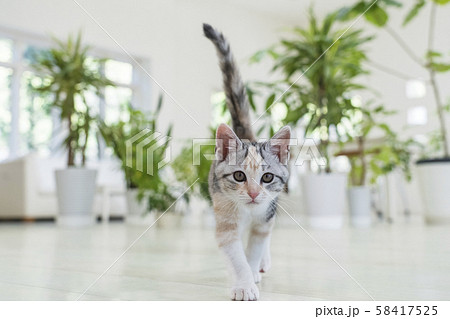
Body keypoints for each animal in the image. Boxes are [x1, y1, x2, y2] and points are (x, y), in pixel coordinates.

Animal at [204, 23, 292, 302]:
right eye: (239, 176)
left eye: (267, 177)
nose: (253, 194)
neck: (248, 211)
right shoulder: (224, 217)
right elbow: (235, 254)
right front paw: (243, 283)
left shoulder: (265, 216)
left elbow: (255, 246)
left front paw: (252, 272)